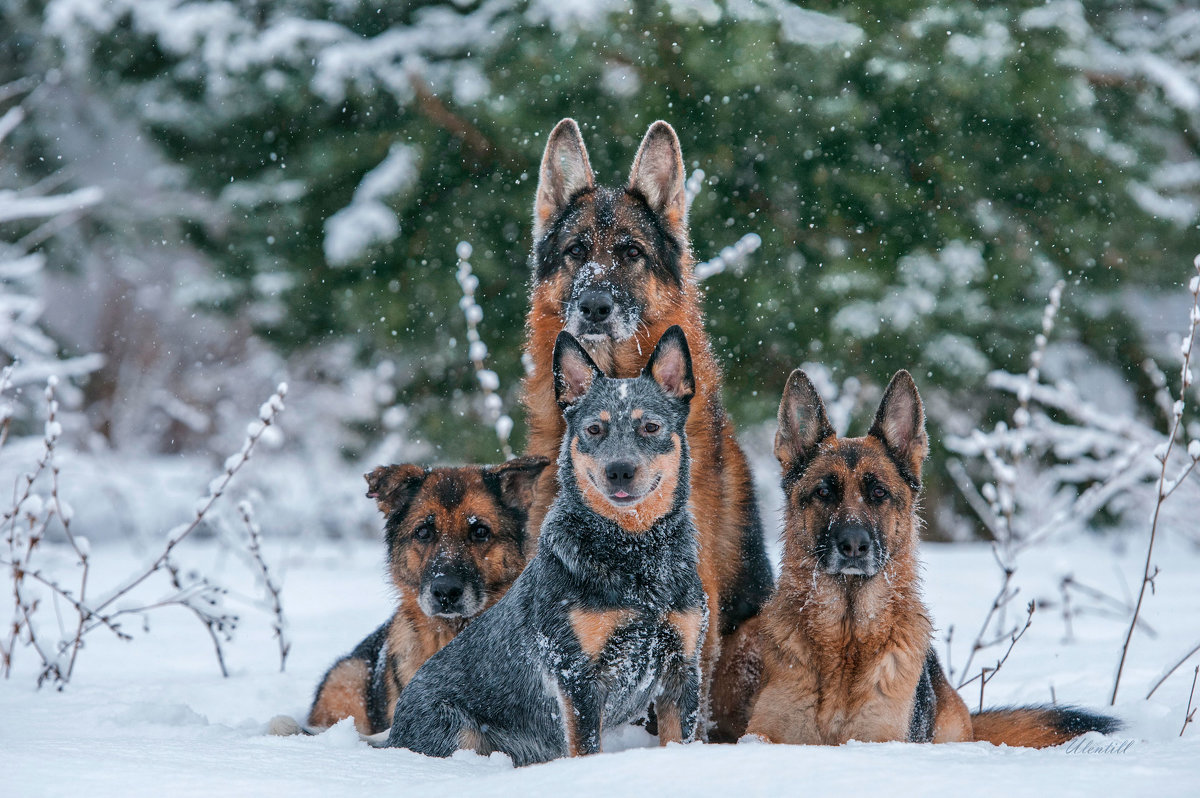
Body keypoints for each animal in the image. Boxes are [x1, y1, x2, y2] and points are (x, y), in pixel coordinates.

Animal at [386, 326, 700, 768]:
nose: (619, 469)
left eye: (651, 427)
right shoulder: (576, 674)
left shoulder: (682, 669)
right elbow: (586, 747)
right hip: (454, 728)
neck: (636, 556)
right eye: (594, 429)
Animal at [734, 369, 1118, 744]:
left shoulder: (880, 737)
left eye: (878, 493)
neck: (847, 634)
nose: (854, 545)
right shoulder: (762, 735)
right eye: (824, 492)